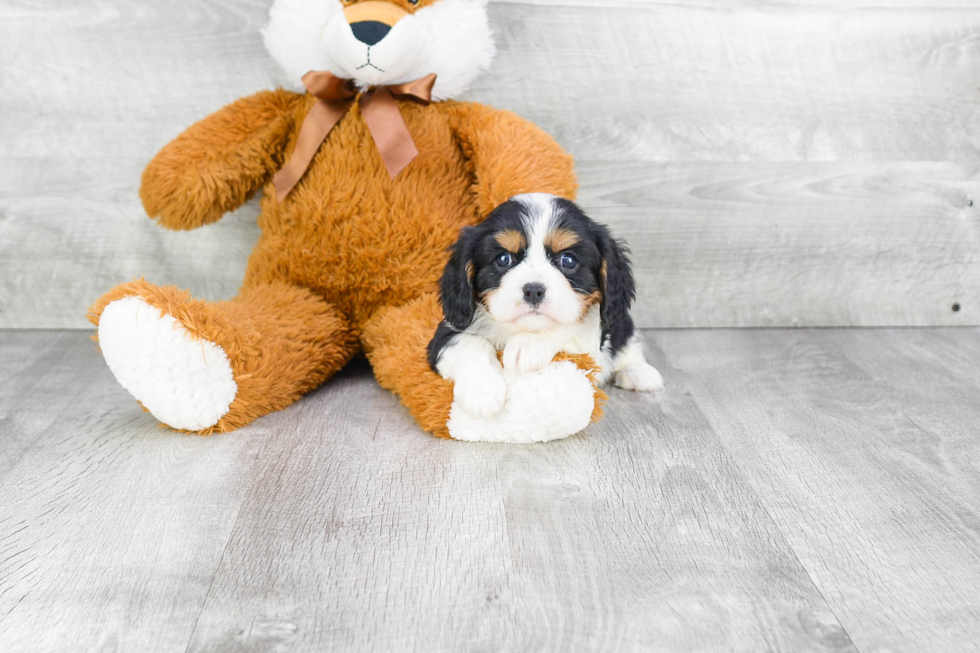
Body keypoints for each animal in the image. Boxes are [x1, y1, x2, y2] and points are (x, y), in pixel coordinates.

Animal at [428, 194, 668, 418]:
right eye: (503, 259)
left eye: (568, 260)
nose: (533, 290)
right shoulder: (446, 330)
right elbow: (470, 343)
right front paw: (482, 391)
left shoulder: (591, 344)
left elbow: (570, 329)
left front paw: (526, 346)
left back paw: (637, 371)